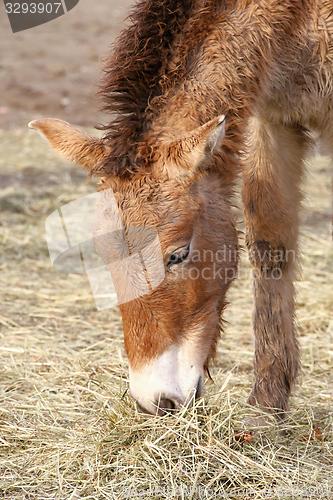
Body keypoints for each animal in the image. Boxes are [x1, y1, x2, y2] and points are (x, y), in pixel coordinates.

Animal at [29, 0, 332, 416]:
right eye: (102, 256)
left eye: (178, 254)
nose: (155, 400)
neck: (297, 18)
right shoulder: (275, 121)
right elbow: (270, 245)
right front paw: (266, 407)